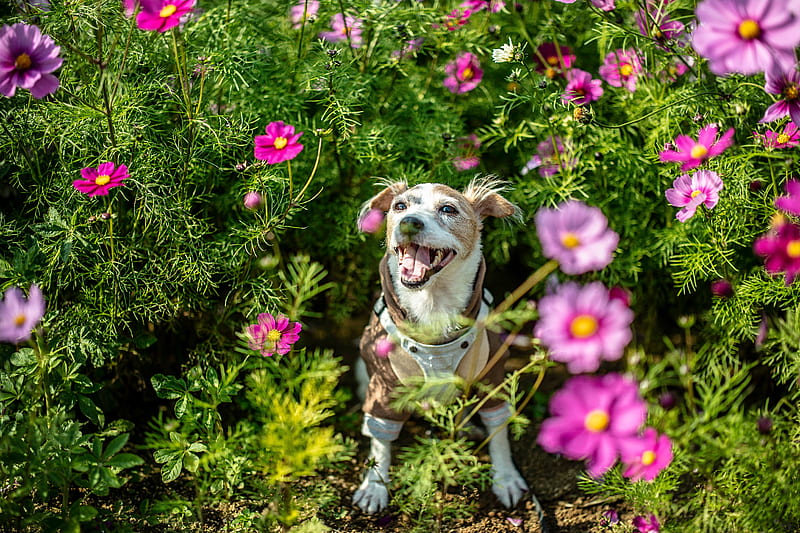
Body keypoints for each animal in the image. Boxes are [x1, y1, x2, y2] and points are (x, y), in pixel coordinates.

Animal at [352, 178, 528, 512]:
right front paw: (375, 486)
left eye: (448, 209)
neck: (432, 306)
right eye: (400, 206)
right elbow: (381, 442)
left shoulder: (492, 377)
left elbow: (498, 431)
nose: (409, 222)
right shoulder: (384, 386)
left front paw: (506, 478)